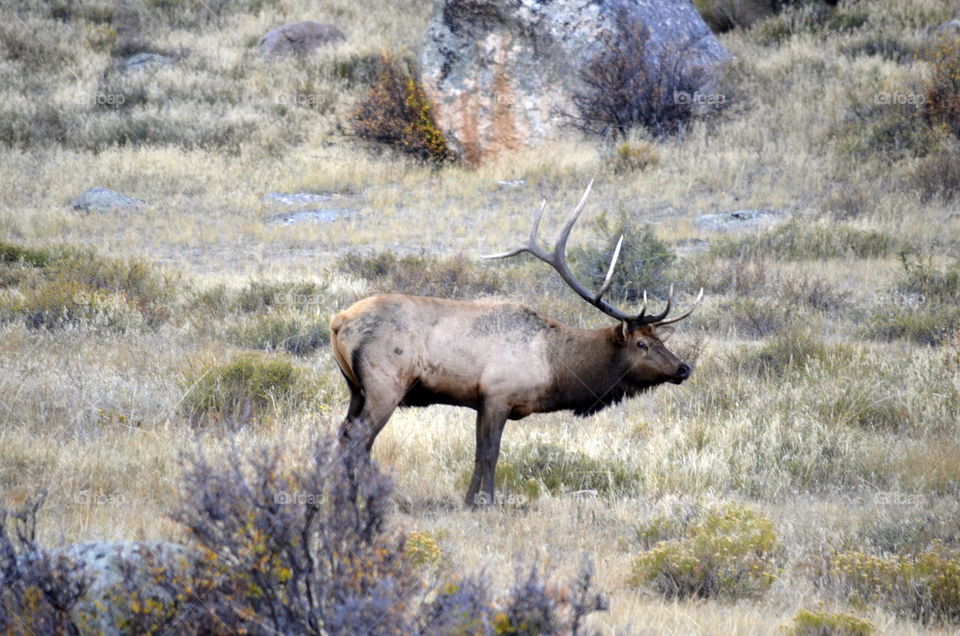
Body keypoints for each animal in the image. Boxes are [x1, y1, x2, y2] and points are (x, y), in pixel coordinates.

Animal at [330, 181, 702, 507]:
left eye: (659, 338)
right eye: (641, 344)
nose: (683, 368)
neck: (553, 367)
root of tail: (338, 322)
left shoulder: (482, 401)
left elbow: (479, 452)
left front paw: (470, 499)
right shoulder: (498, 394)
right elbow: (490, 452)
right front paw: (486, 501)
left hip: (355, 388)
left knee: (343, 434)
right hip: (385, 384)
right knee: (360, 440)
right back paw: (362, 497)